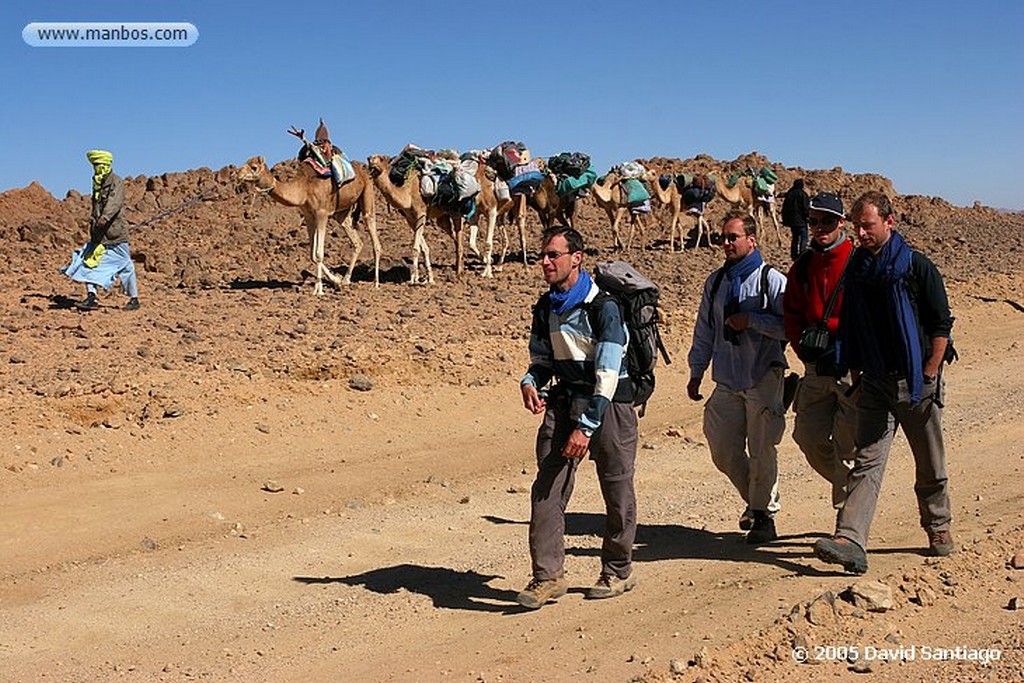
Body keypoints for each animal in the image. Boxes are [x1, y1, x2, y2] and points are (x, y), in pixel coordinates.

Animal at [236, 157, 380, 296]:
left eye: (254, 167)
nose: (238, 174)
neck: (303, 188)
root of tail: (363, 170)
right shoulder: (308, 215)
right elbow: (312, 255)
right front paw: (336, 280)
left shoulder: (322, 213)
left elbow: (319, 253)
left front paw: (319, 289)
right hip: (342, 214)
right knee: (357, 242)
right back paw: (345, 280)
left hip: (367, 193)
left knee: (374, 236)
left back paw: (376, 283)